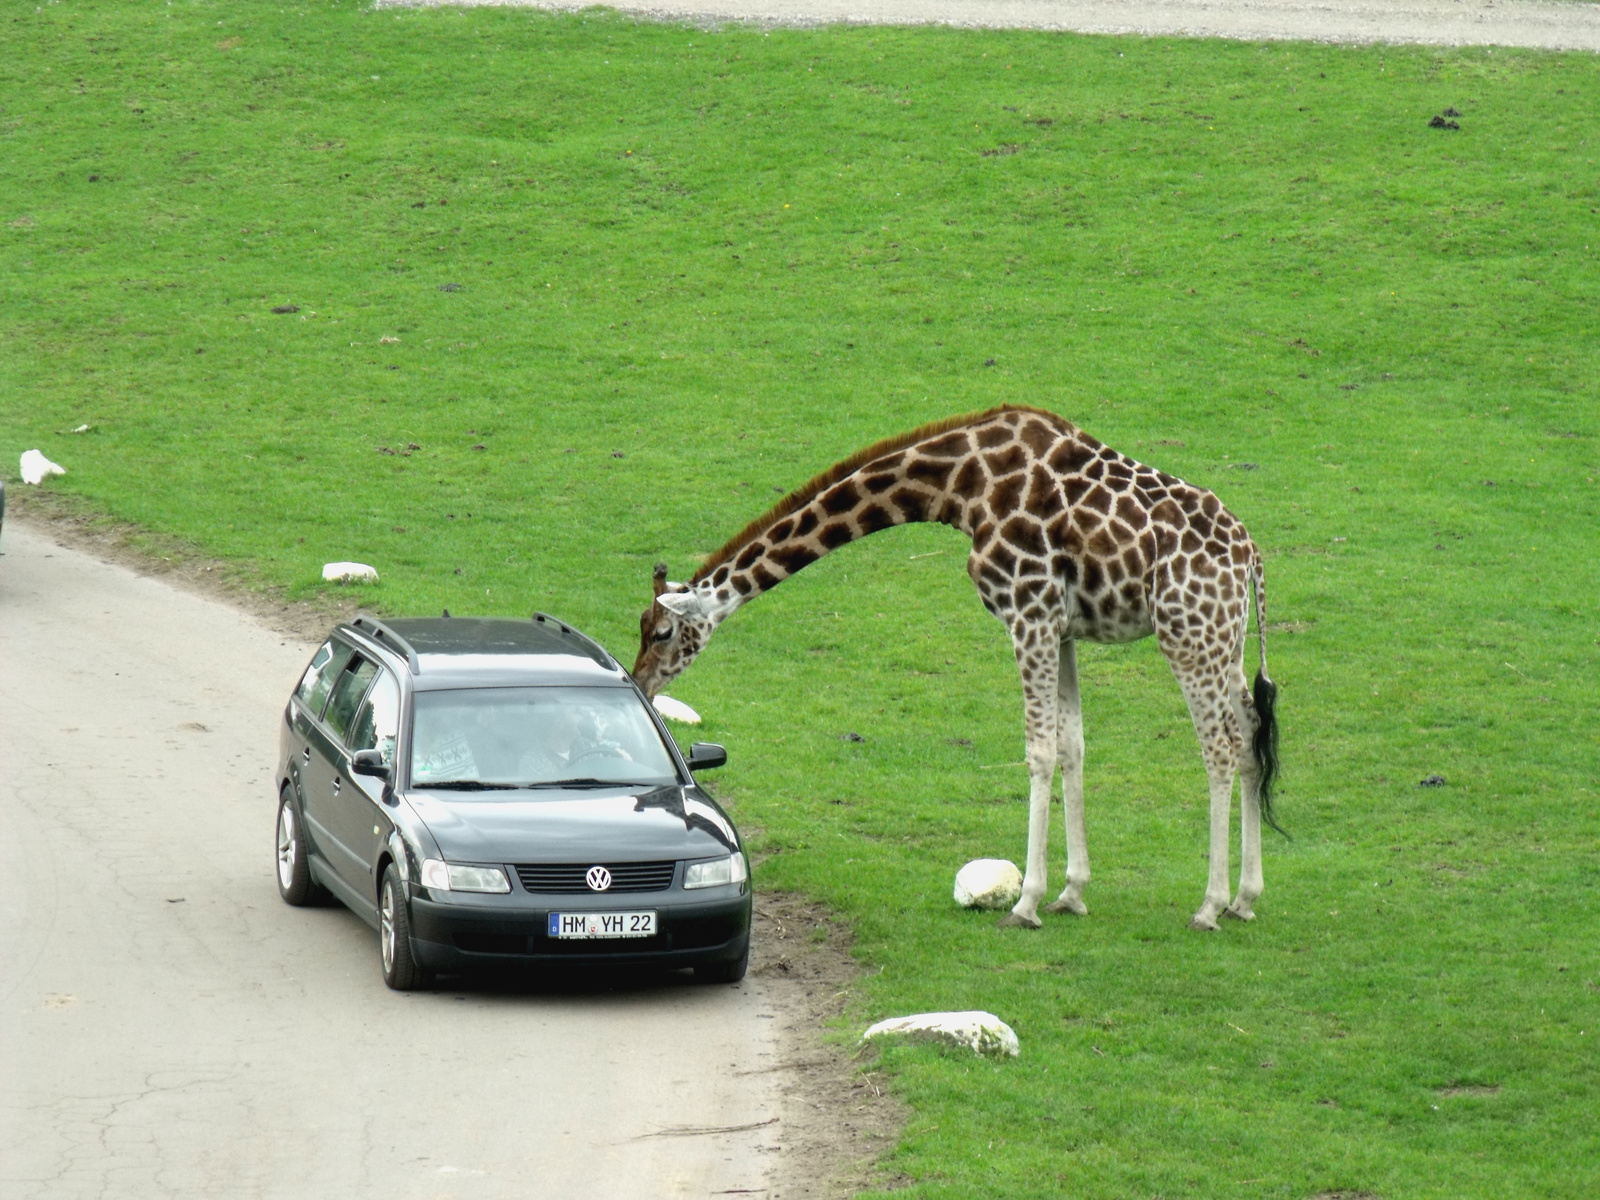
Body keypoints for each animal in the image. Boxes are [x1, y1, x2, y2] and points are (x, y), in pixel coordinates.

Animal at [630, 409, 1280, 934]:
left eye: (661, 633)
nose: (641, 684)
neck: (959, 487)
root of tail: (1251, 557)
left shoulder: (1028, 611)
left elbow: (1039, 750)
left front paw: (1027, 904)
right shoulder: (1062, 626)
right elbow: (1072, 746)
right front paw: (1072, 893)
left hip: (1187, 636)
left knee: (1219, 748)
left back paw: (1208, 906)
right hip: (1225, 641)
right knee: (1251, 736)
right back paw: (1245, 899)